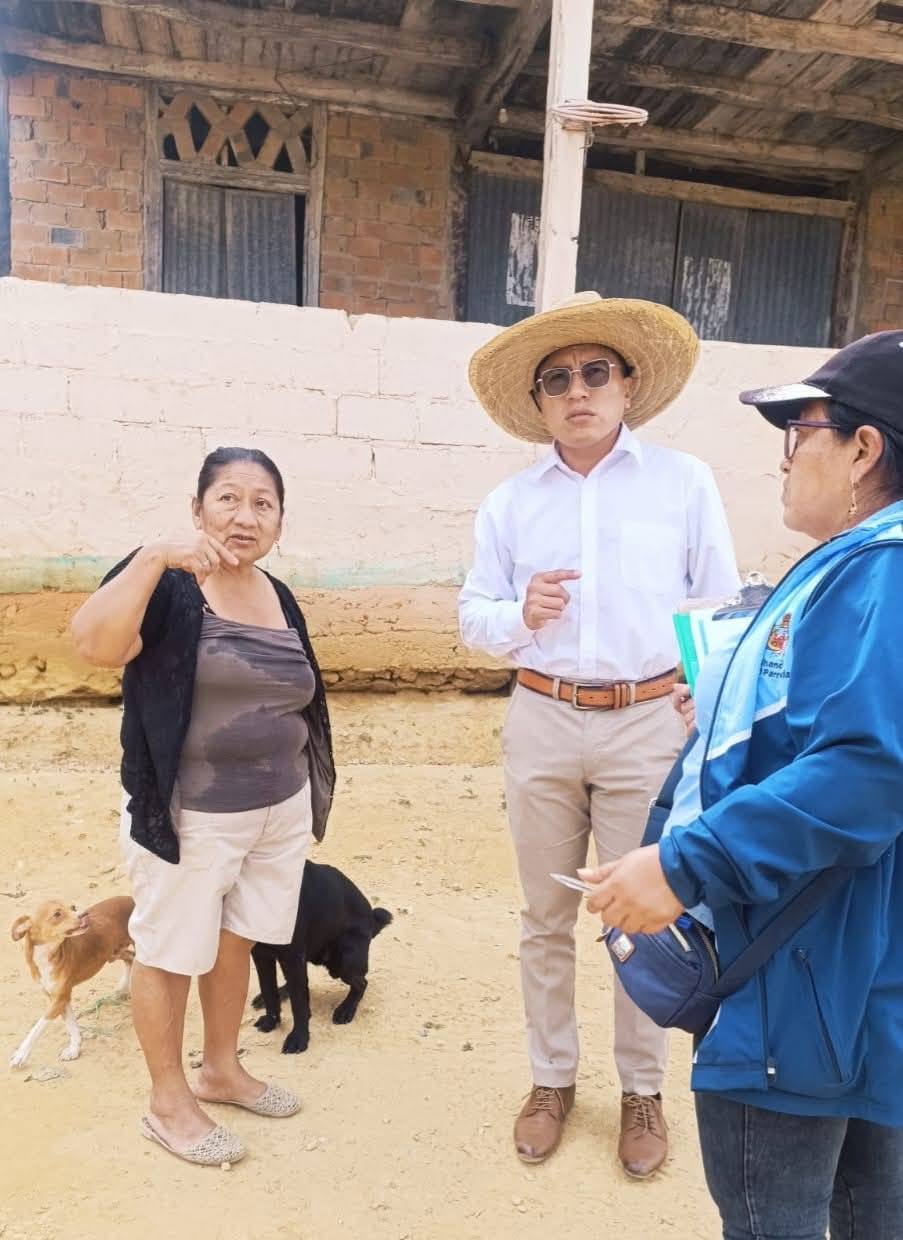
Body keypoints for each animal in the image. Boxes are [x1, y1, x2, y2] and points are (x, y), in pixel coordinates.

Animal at [10, 896, 135, 1068]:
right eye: (57, 914)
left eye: (73, 907)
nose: (84, 914)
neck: (46, 954)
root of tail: (131, 897)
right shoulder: (58, 998)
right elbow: (71, 1025)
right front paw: (74, 1049)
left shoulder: (60, 998)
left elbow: (37, 1027)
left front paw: (21, 1054)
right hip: (113, 952)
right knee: (130, 958)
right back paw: (122, 988)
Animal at [251, 861, 392, 1054]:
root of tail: (372, 920)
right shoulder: (261, 955)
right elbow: (269, 991)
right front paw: (271, 1022)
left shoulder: (292, 956)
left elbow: (299, 1005)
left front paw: (299, 1038)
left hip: (343, 962)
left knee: (362, 983)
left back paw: (345, 1009)